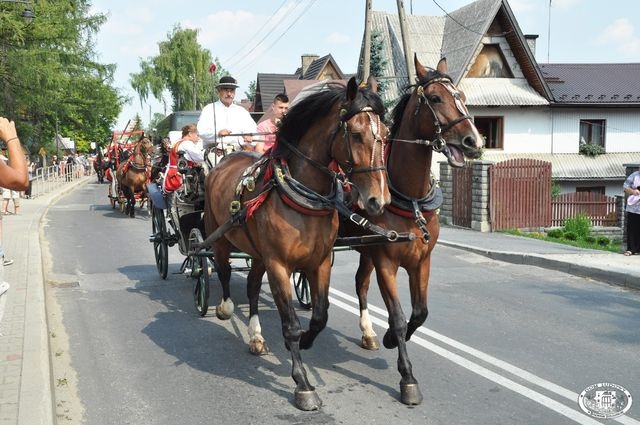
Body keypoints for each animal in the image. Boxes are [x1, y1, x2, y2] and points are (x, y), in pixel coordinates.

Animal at [202, 77, 388, 410]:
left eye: (387, 134)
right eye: (355, 133)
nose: (377, 200)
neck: (302, 197)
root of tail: (226, 158)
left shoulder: (320, 262)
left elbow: (320, 315)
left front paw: (307, 340)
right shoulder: (278, 264)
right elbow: (289, 324)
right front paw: (302, 382)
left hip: (257, 253)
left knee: (251, 288)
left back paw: (256, 337)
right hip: (220, 237)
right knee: (222, 271)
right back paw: (223, 307)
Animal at [342, 56, 482, 404]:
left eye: (460, 95)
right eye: (434, 98)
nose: (474, 141)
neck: (411, 199)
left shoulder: (422, 261)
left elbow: (420, 313)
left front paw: (391, 338)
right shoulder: (386, 263)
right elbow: (397, 314)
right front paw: (407, 376)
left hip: (366, 251)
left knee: (360, 285)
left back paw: (368, 332)